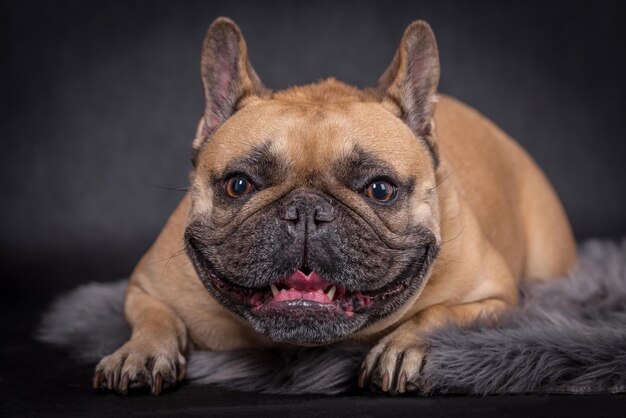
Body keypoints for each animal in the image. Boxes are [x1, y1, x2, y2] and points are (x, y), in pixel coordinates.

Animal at [91, 16, 576, 396]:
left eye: (380, 190)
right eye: (239, 185)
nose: (306, 211)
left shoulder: (497, 296)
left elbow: (440, 313)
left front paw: (402, 347)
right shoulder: (146, 286)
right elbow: (155, 316)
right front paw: (141, 351)